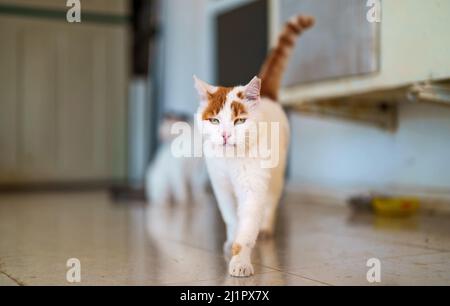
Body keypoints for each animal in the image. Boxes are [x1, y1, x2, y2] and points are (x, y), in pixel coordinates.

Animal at [195, 14, 314, 278]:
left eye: (239, 121)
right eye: (214, 120)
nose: (225, 135)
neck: (231, 161)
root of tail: (267, 95)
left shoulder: (253, 187)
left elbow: (247, 225)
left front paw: (240, 261)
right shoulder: (221, 186)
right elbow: (231, 218)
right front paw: (231, 241)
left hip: (276, 174)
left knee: (271, 202)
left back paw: (266, 228)